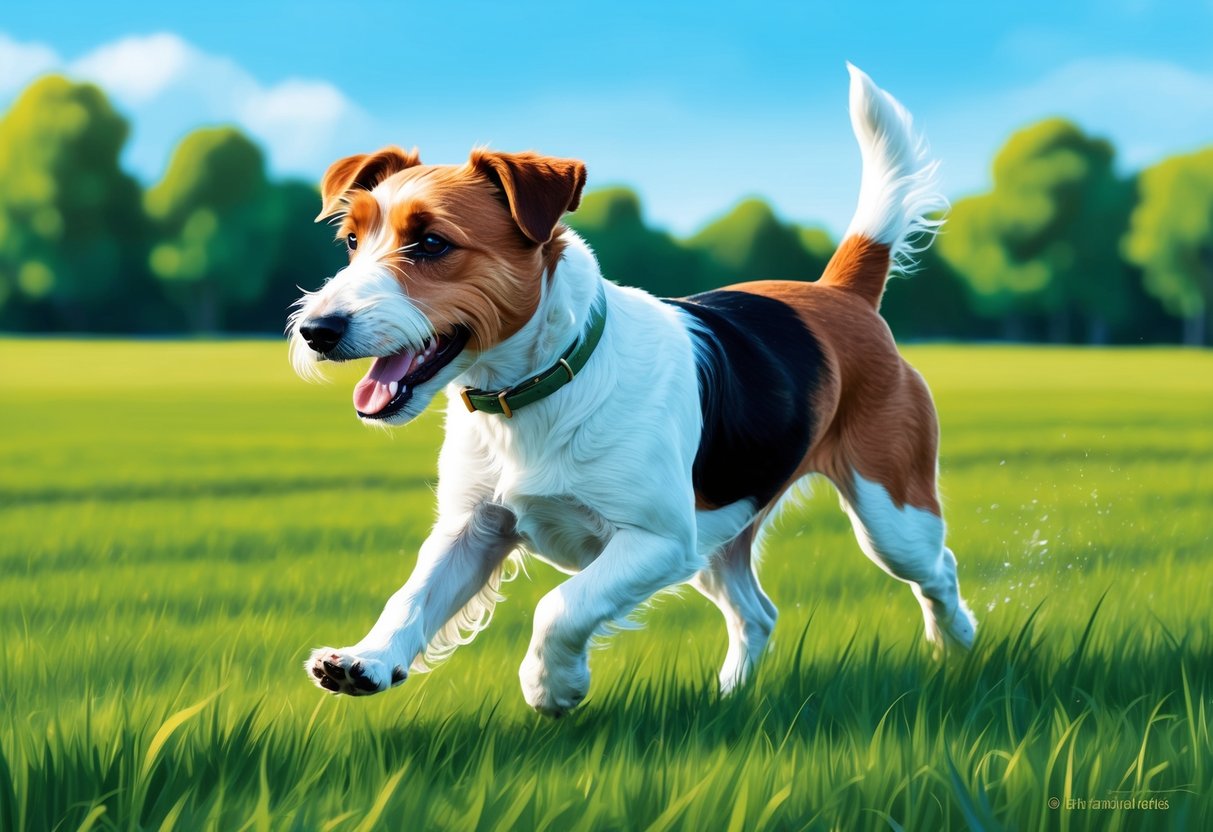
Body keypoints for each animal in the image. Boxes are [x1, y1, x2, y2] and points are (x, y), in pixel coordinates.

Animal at [291, 63, 975, 717]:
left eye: (432, 243)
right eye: (351, 242)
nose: (315, 330)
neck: (539, 389)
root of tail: (839, 293)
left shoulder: (658, 540)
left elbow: (561, 605)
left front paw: (552, 687)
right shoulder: (472, 527)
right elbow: (411, 596)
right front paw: (367, 660)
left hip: (889, 516)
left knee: (938, 570)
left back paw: (956, 653)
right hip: (721, 529)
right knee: (757, 614)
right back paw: (730, 699)